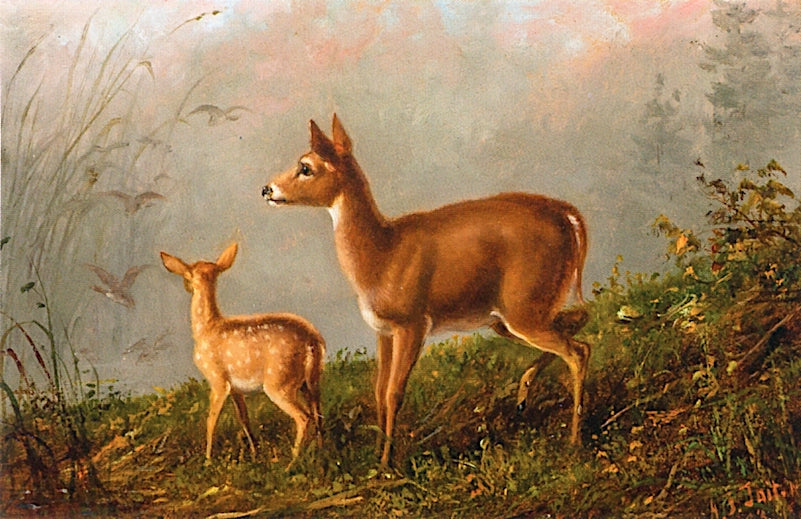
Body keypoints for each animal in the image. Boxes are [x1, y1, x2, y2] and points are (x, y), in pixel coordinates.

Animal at [160, 242, 325, 467]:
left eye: (188, 274)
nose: (187, 286)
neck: (206, 328)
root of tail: (312, 341)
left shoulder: (217, 378)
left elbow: (211, 419)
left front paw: (208, 460)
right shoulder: (236, 388)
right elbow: (243, 418)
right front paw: (255, 453)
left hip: (279, 381)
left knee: (303, 417)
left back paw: (292, 461)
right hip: (311, 381)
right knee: (318, 414)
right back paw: (322, 452)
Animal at [261, 115, 590, 467]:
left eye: (305, 167)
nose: (267, 189)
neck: (381, 255)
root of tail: (569, 216)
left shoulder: (412, 323)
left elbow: (394, 392)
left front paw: (387, 463)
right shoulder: (383, 330)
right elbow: (378, 390)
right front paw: (377, 454)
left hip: (525, 305)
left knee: (578, 350)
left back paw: (574, 440)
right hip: (512, 315)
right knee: (579, 325)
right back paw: (524, 395)